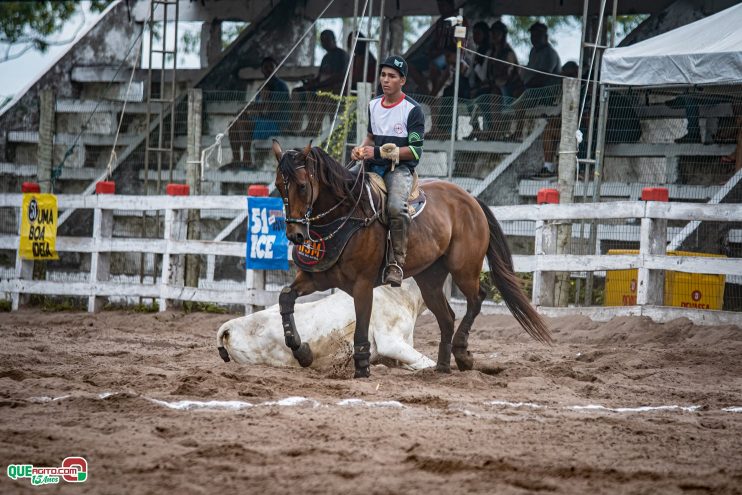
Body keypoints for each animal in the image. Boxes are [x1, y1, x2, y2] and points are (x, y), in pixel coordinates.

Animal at [274, 141, 552, 378]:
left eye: (302, 185)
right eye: (278, 185)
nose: (295, 234)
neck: (349, 214)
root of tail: (470, 199)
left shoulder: (363, 285)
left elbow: (361, 330)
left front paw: (362, 371)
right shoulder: (318, 277)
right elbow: (286, 297)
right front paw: (302, 351)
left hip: (464, 269)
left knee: (477, 298)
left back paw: (462, 354)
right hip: (430, 279)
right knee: (447, 316)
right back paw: (442, 366)